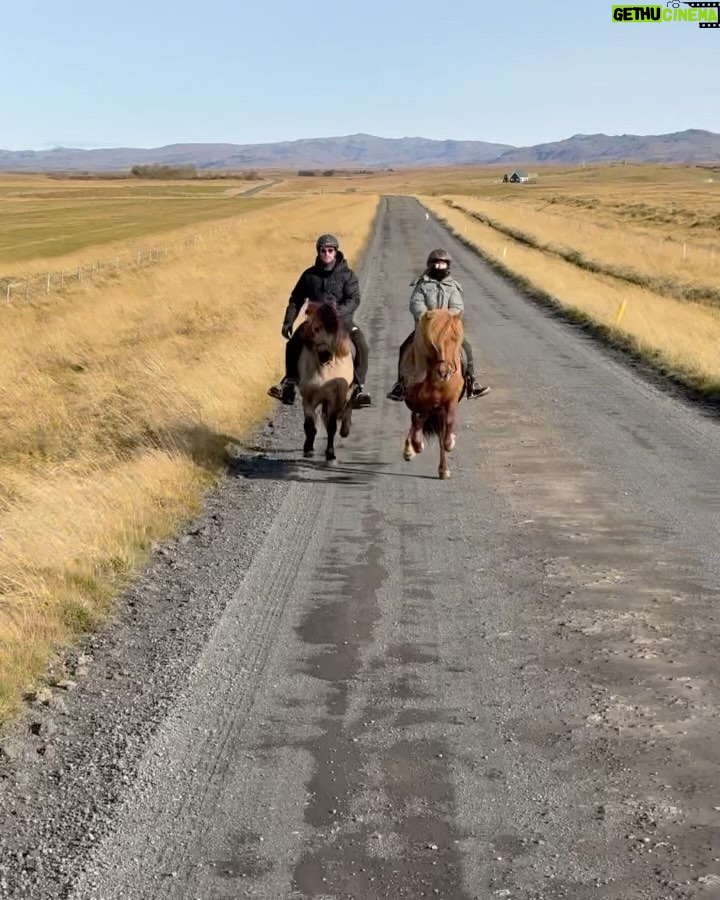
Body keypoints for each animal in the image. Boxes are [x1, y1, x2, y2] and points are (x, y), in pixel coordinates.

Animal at [296, 298, 356, 460]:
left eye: (335, 328)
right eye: (315, 328)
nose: (325, 355)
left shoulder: (335, 398)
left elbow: (331, 426)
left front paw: (330, 453)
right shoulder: (308, 398)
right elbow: (309, 425)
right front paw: (308, 449)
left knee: (347, 407)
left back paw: (345, 429)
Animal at [396, 308, 464, 478]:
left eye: (455, 339)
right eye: (433, 344)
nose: (444, 372)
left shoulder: (450, 401)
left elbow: (448, 425)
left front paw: (450, 442)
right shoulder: (417, 402)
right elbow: (417, 421)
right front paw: (416, 445)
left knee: (439, 432)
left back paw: (443, 469)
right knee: (416, 421)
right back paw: (410, 449)